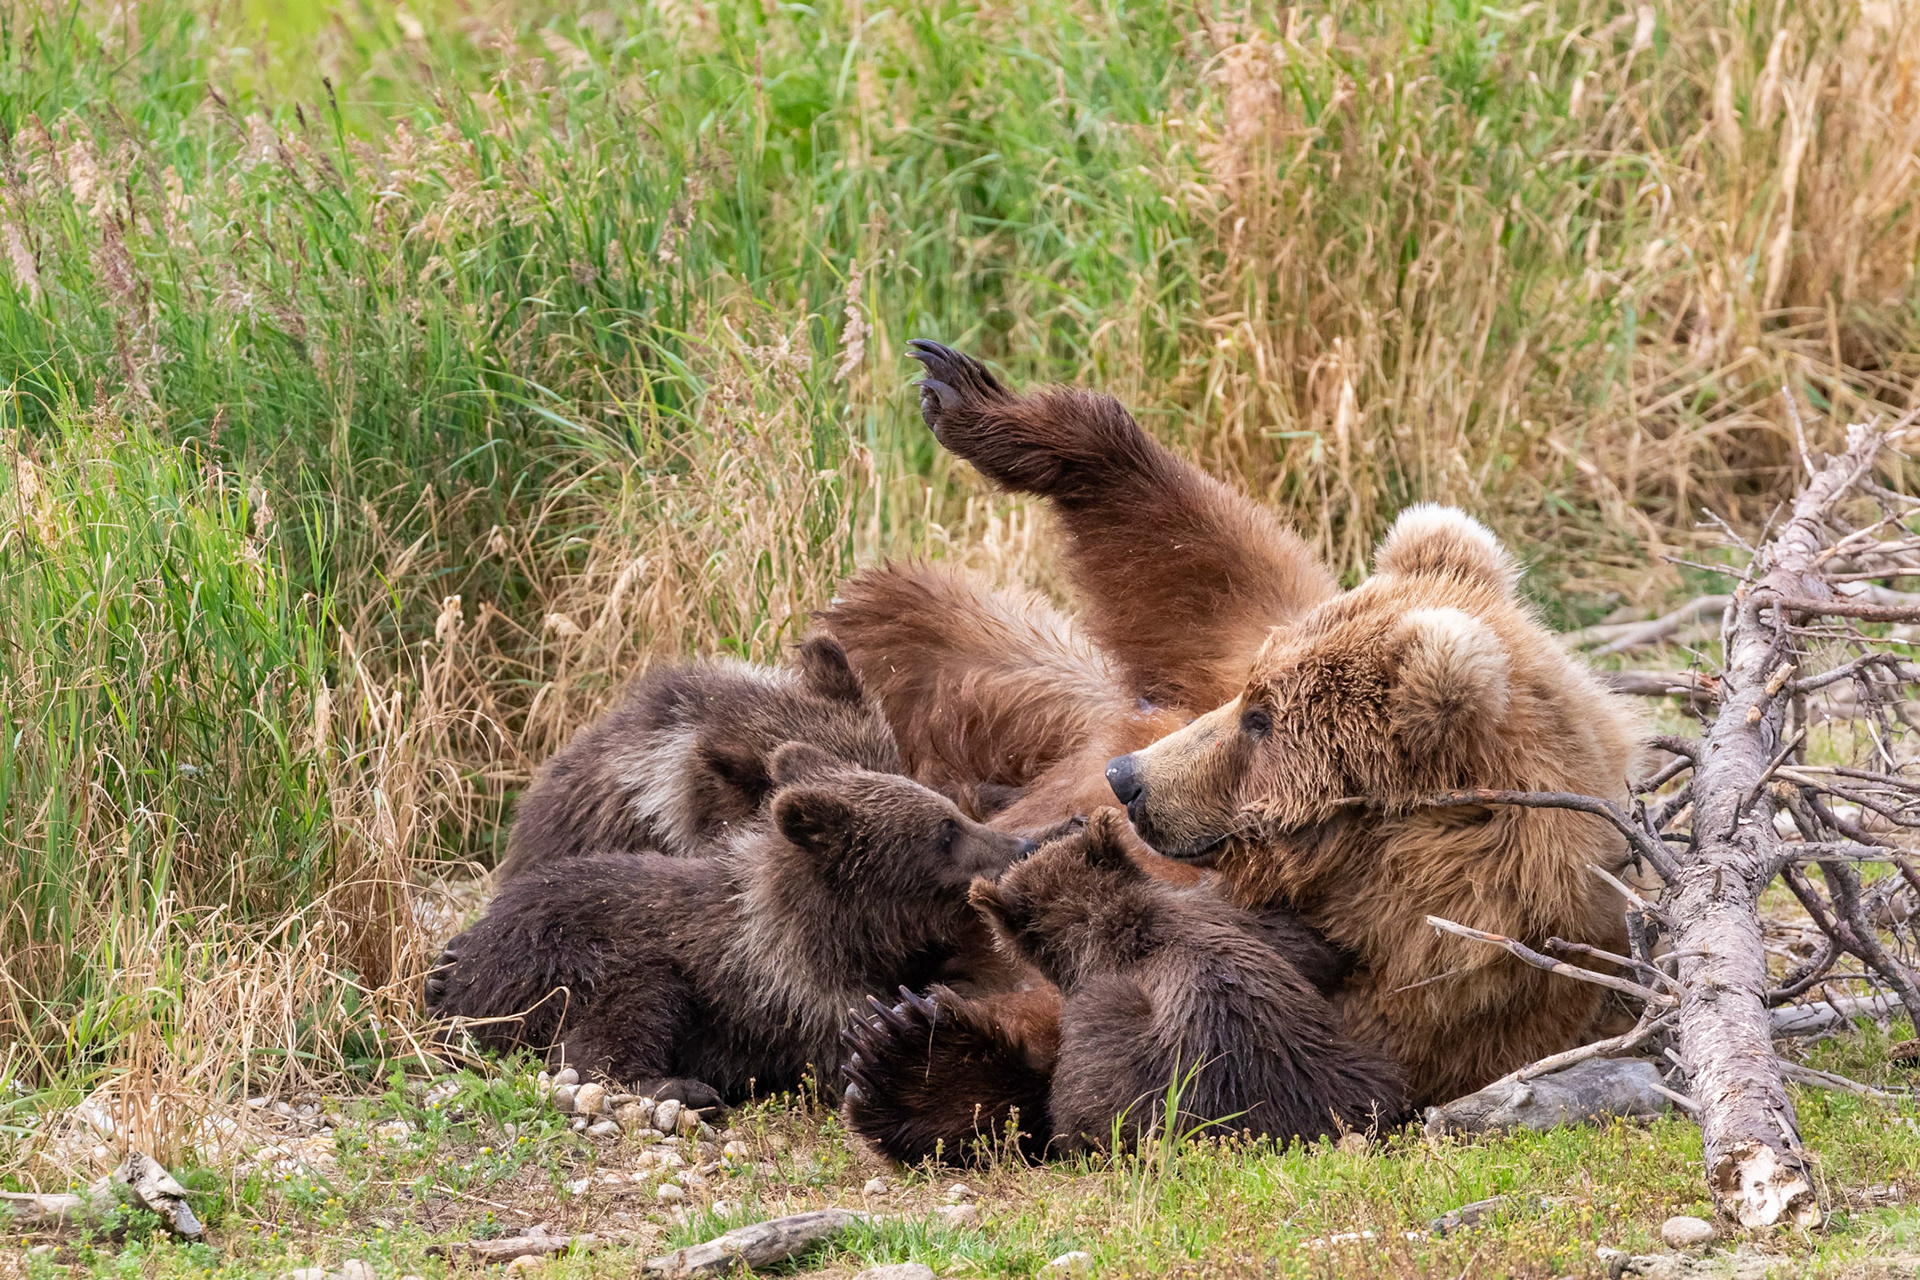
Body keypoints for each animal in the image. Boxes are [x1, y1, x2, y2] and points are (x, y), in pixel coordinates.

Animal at [424, 742, 1037, 1104]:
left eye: (951, 814)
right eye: (945, 832)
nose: (1021, 844)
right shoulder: (790, 996)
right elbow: (847, 1049)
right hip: (556, 964)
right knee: (621, 1014)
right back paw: (682, 1087)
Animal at [841, 813, 1393, 1162]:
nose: (1070, 820)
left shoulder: (1095, 1025)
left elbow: (1070, 1114)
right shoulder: (1250, 921)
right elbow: (1315, 944)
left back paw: (903, 1053)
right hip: (1357, 1073)